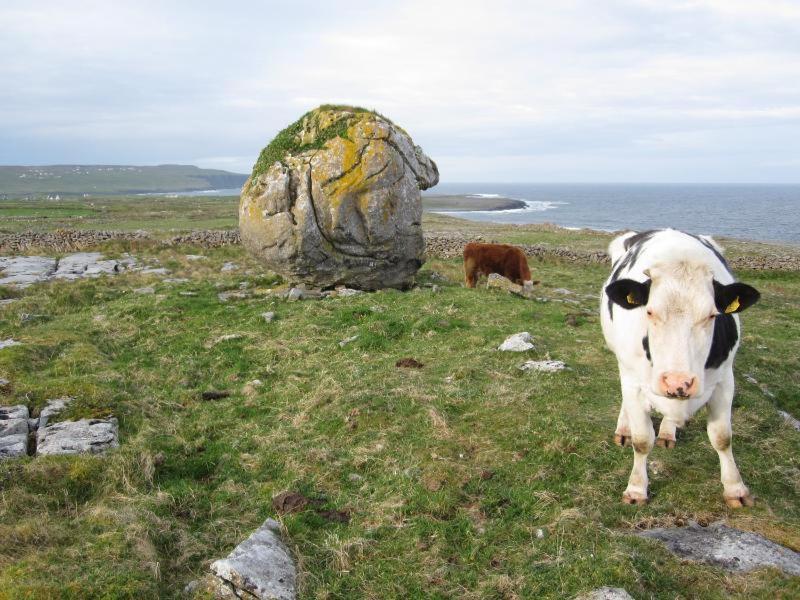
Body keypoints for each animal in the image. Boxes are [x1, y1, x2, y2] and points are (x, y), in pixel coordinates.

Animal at [600, 230, 764, 506]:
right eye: (650, 312)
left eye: (712, 315)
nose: (678, 382)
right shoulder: (633, 379)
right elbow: (642, 440)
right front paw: (636, 488)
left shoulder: (725, 380)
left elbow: (722, 437)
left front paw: (736, 489)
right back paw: (623, 430)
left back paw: (667, 432)